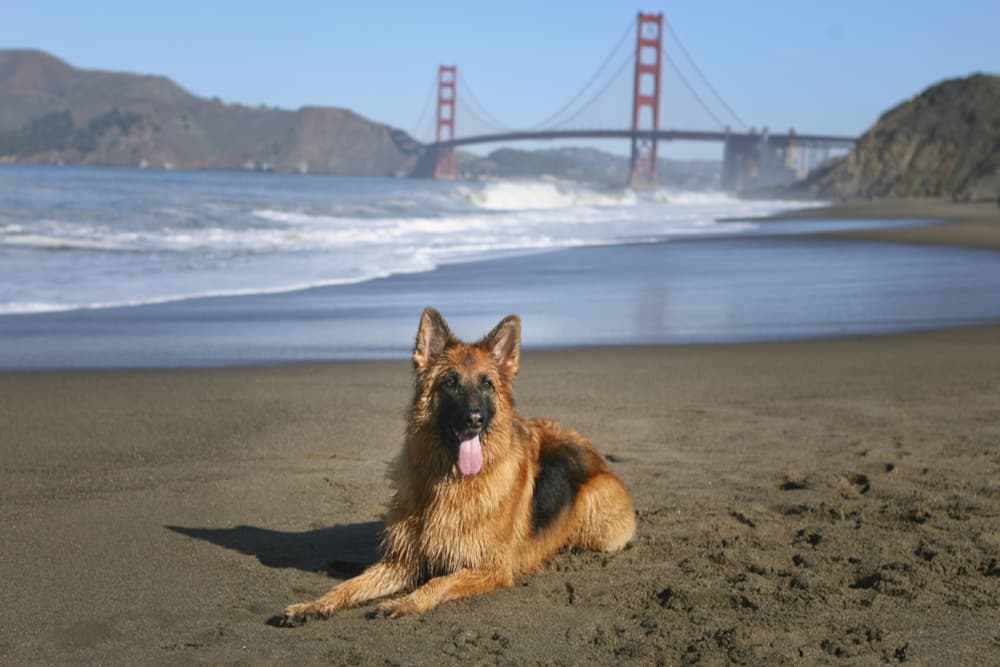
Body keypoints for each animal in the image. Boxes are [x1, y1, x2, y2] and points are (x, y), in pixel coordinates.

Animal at [282, 310, 632, 624]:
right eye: (451, 382)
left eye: (487, 384)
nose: (474, 419)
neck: (449, 482)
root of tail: (596, 455)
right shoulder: (401, 562)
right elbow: (349, 585)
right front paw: (313, 605)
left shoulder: (489, 568)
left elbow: (439, 581)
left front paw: (407, 603)